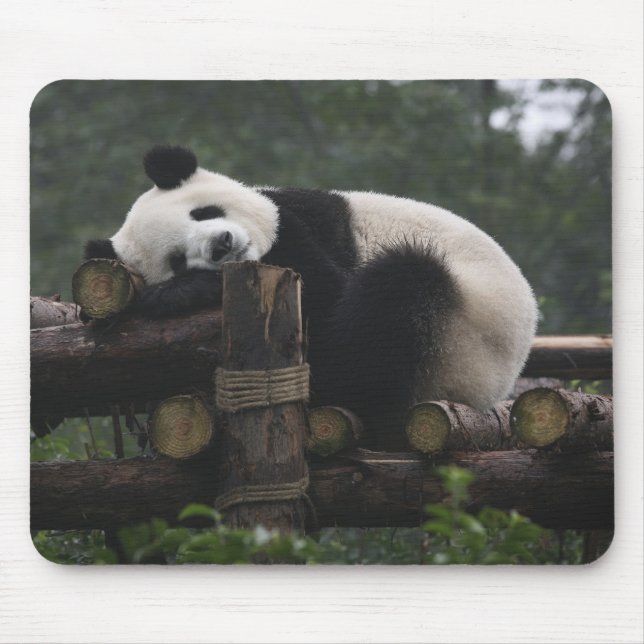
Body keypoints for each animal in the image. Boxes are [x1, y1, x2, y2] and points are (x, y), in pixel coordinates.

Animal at [85, 145, 538, 447]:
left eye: (204, 212)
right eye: (177, 259)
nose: (221, 246)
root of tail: (493, 389)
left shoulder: (306, 223)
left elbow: (325, 297)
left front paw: (176, 294)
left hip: (464, 333)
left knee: (396, 295)